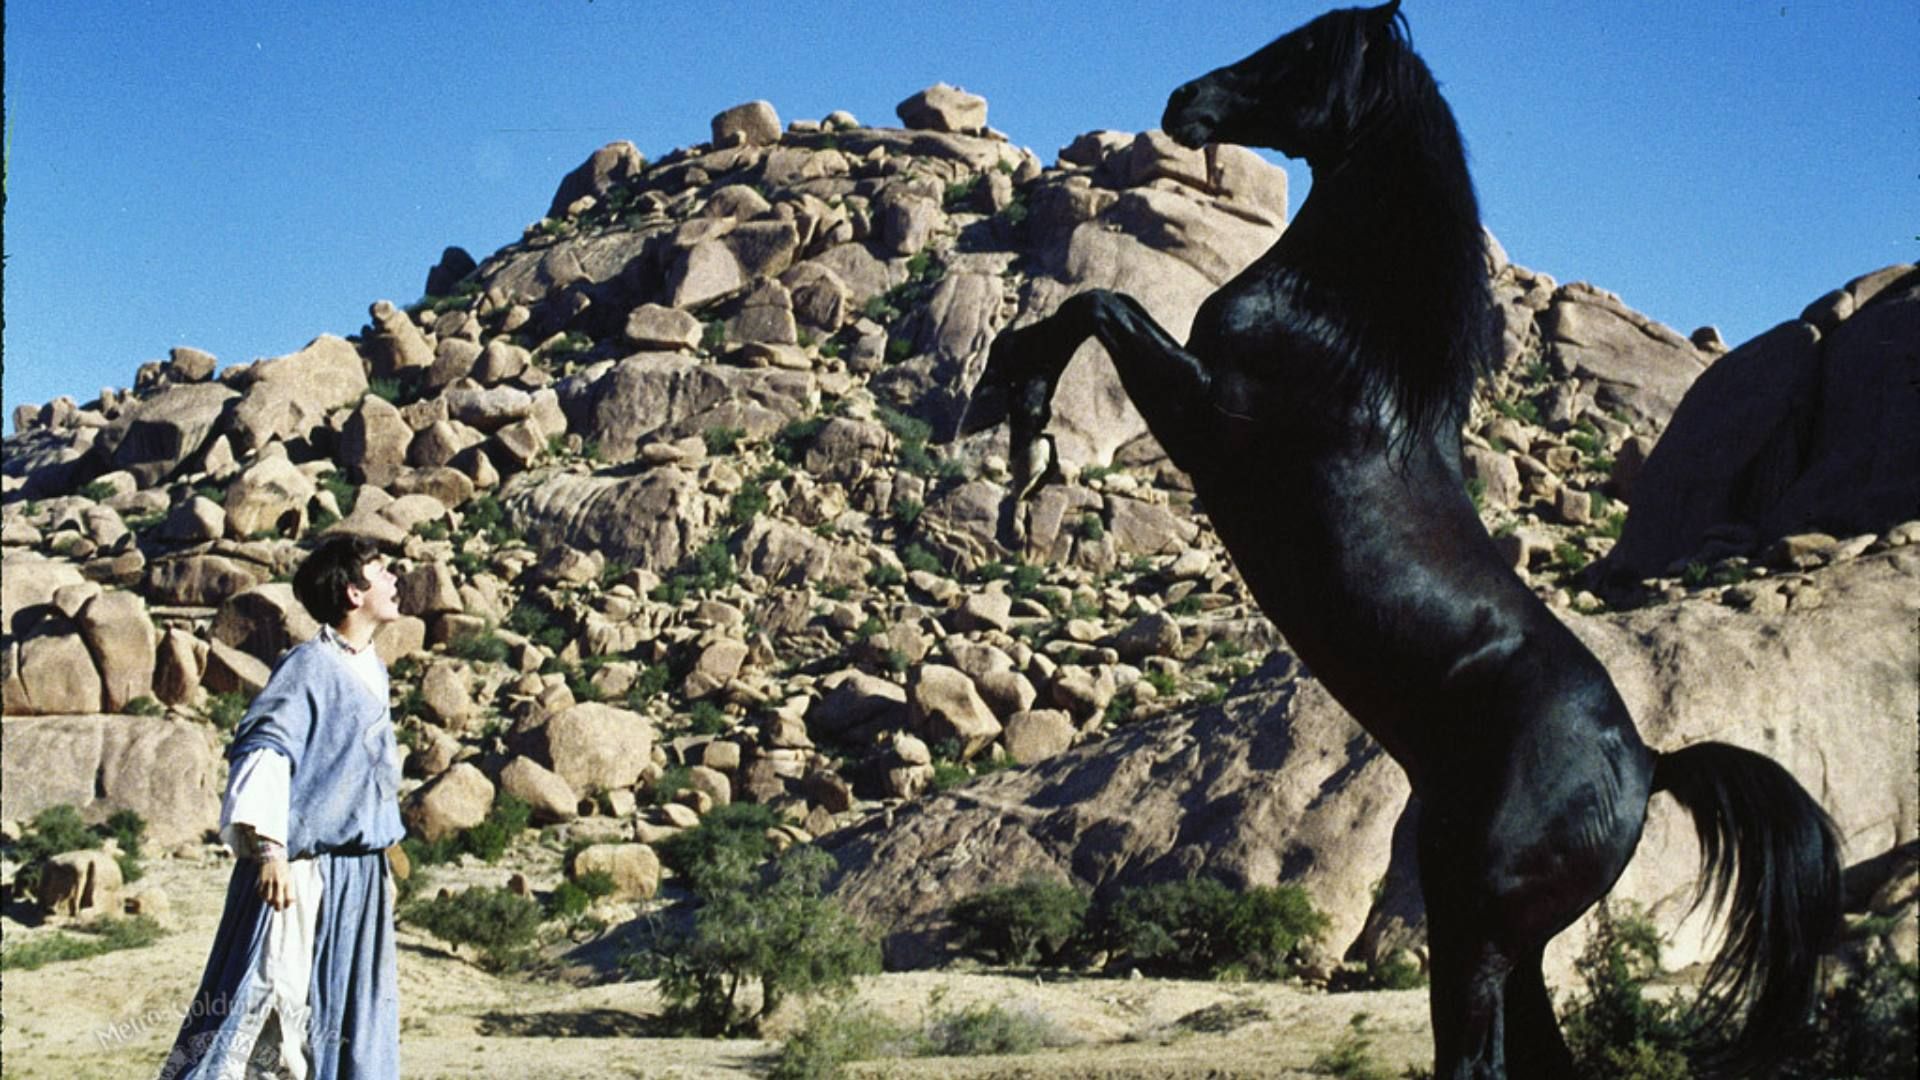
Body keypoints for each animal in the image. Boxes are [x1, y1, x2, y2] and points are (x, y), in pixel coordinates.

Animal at [964, 3, 1843, 1077]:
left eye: (1305, 49)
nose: (1185, 101)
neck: (1346, 336)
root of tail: (1649, 763)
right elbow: (1095, 307)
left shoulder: (1208, 416)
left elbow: (1100, 305)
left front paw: (1023, 413)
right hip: (1512, 945)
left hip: (1475, 933)